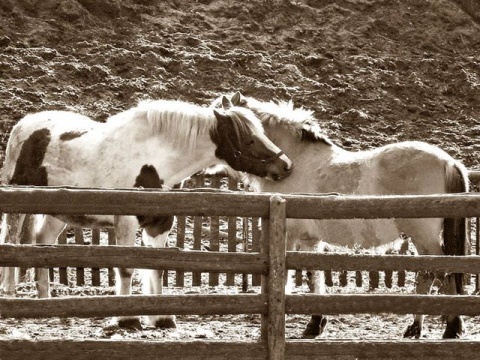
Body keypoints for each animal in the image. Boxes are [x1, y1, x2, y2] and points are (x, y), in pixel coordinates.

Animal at [0, 95, 292, 330]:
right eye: (248, 138)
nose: (286, 165)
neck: (153, 159)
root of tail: (23, 126)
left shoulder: (159, 224)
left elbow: (156, 267)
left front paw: (160, 317)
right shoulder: (127, 222)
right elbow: (127, 268)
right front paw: (127, 318)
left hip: (56, 211)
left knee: (43, 243)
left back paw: (46, 301)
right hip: (17, 207)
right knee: (12, 243)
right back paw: (11, 295)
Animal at [213, 91, 468, 338]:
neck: (298, 160)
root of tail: (448, 161)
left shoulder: (289, 236)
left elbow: (286, 279)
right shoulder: (310, 240)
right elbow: (314, 275)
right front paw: (315, 323)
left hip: (423, 236)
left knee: (439, 271)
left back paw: (450, 327)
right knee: (430, 274)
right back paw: (417, 328)